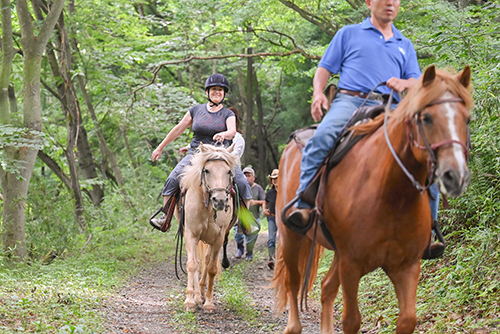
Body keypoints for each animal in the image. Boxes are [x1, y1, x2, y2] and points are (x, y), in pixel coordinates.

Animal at [180, 144, 238, 314]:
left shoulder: (218, 238)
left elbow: (211, 268)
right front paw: (189, 301)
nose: (219, 200)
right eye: (206, 170)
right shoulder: (190, 234)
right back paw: (197, 296)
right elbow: (192, 265)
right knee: (198, 262)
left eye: (229, 171)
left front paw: (209, 303)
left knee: (206, 261)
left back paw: (201, 294)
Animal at [274, 66, 472, 334]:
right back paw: (293, 325)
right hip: (291, 236)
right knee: (293, 282)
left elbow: (407, 319)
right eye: (427, 118)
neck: (393, 196)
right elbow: (351, 320)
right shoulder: (351, 264)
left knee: (326, 287)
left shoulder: (407, 266)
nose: (456, 175)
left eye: (467, 119)